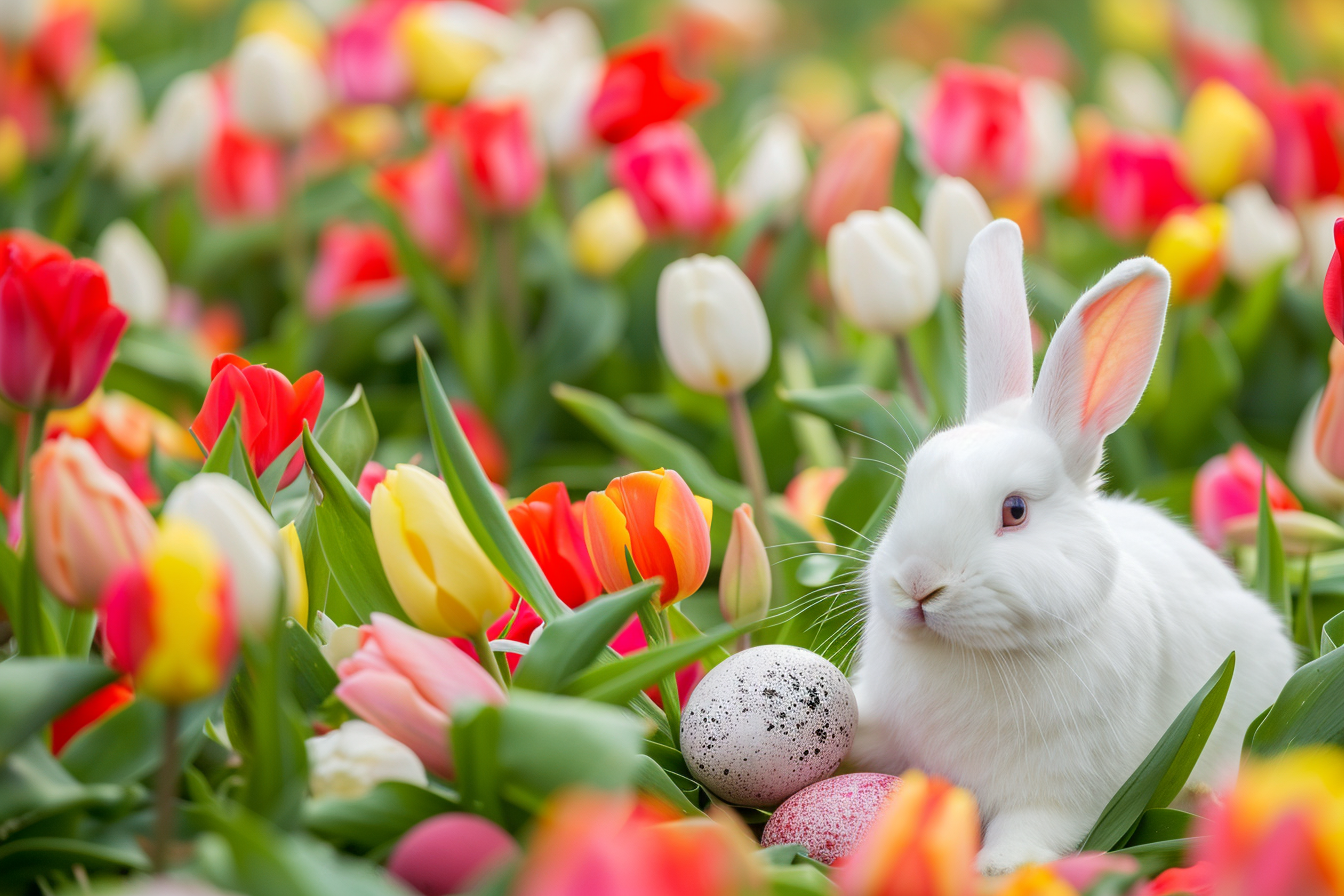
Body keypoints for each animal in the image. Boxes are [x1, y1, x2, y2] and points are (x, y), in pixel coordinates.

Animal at [848, 219, 1297, 875]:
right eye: (909, 485)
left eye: (1015, 511)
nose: (917, 584)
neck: (973, 655)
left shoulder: (1060, 795)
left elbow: (1029, 831)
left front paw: (995, 870)